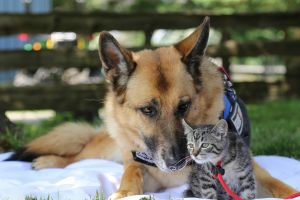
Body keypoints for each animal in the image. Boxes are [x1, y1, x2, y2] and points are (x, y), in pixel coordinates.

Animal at [7, 17, 298, 198]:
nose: (176, 162)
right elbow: (131, 176)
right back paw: (49, 160)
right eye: (148, 110)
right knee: (79, 155)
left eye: (184, 106)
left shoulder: (249, 168)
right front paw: (123, 193)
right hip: (110, 149)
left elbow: (277, 184)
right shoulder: (142, 168)